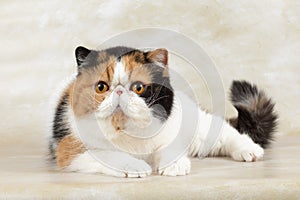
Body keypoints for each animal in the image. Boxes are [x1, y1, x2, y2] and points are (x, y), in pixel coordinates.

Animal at [48, 46, 276, 177]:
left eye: (139, 87)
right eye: (101, 87)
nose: (120, 91)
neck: (128, 130)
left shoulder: (171, 129)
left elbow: (170, 146)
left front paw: (174, 165)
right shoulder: (69, 149)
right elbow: (109, 155)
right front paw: (135, 166)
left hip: (199, 128)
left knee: (226, 132)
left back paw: (249, 150)